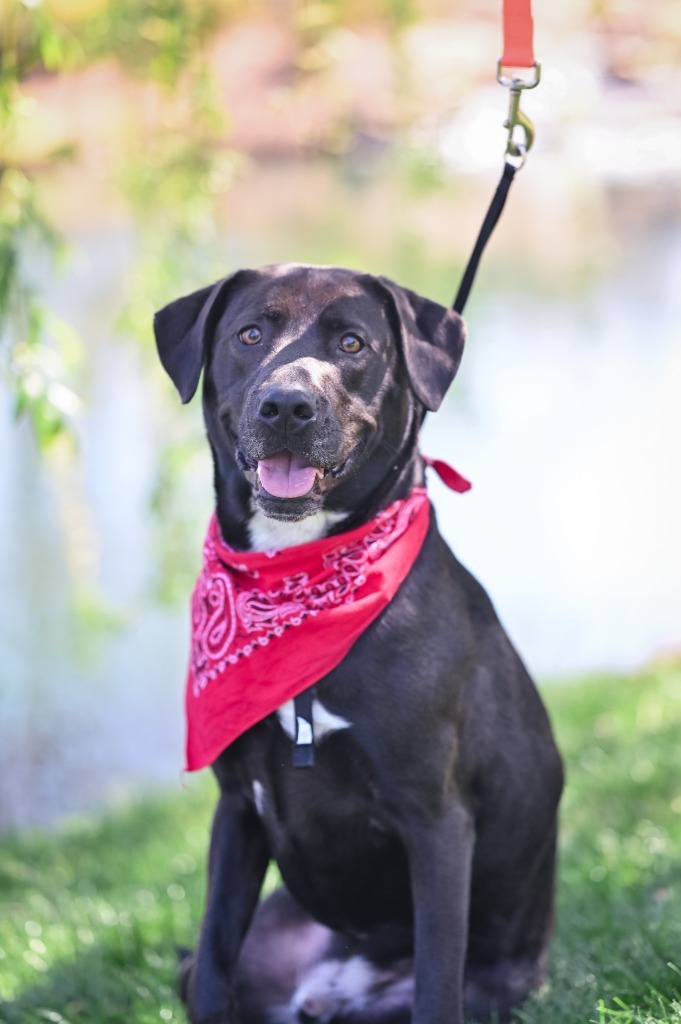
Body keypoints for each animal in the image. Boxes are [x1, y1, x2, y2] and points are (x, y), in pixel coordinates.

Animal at [153, 266, 561, 1024]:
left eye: (352, 343)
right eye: (248, 334)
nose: (287, 406)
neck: (296, 572)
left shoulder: (434, 819)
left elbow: (437, 980)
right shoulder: (236, 809)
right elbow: (216, 954)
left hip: (493, 986)